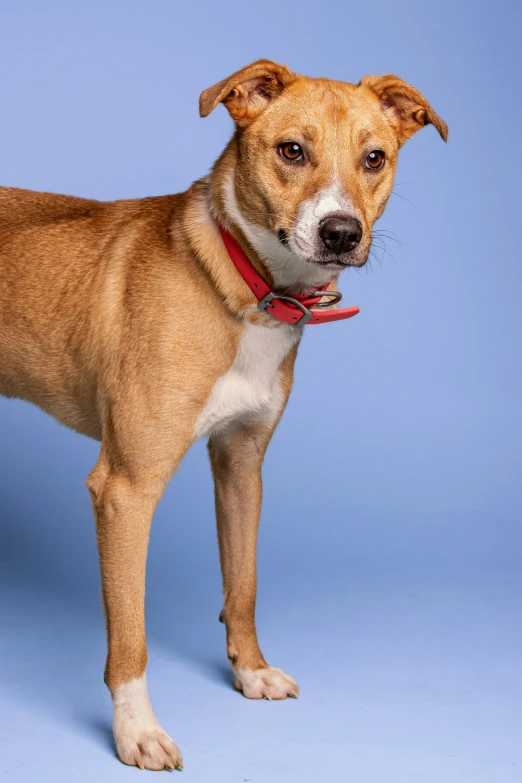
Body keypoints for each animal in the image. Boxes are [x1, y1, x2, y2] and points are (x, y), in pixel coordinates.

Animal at [0, 61, 446, 772]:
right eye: (291, 151)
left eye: (374, 158)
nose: (342, 233)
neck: (250, 290)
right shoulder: (126, 488)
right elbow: (130, 631)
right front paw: (136, 730)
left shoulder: (241, 463)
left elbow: (243, 584)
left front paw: (251, 671)